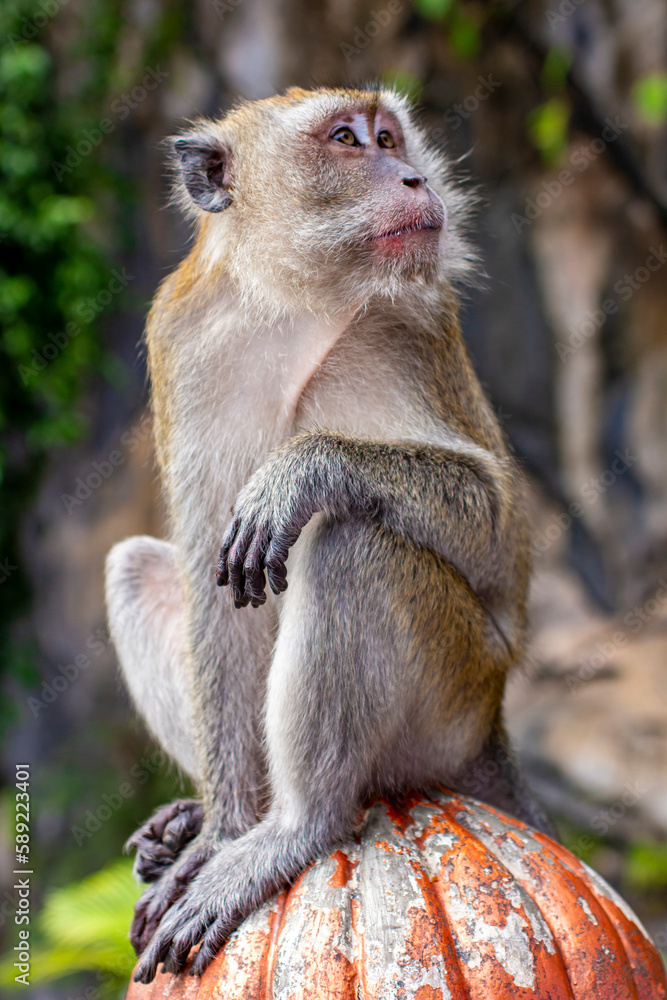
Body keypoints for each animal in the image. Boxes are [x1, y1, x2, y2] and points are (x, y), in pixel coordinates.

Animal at [105, 85, 553, 984]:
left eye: (389, 137)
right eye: (347, 141)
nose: (413, 176)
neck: (293, 306)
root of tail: (490, 719)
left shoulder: (412, 326)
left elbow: (498, 533)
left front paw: (304, 469)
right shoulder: (185, 340)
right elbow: (213, 592)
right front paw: (217, 830)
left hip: (454, 692)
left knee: (352, 546)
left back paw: (293, 829)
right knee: (136, 565)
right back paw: (212, 823)